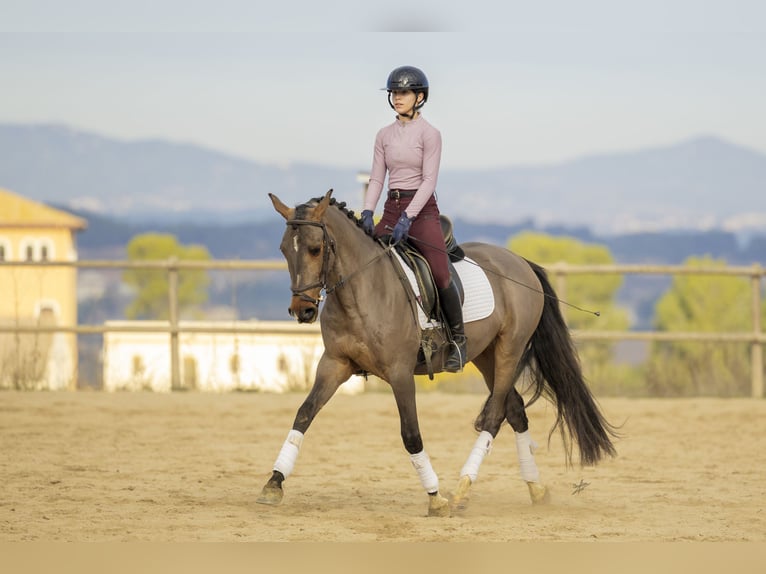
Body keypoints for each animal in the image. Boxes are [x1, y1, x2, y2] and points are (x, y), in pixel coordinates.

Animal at [257, 189, 617, 516]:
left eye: (315, 249)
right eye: (283, 250)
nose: (302, 310)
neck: (360, 291)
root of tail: (520, 262)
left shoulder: (400, 374)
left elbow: (411, 434)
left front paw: (435, 497)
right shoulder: (334, 364)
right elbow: (304, 415)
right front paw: (273, 483)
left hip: (509, 351)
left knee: (494, 416)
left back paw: (461, 490)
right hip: (485, 356)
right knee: (515, 411)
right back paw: (536, 488)